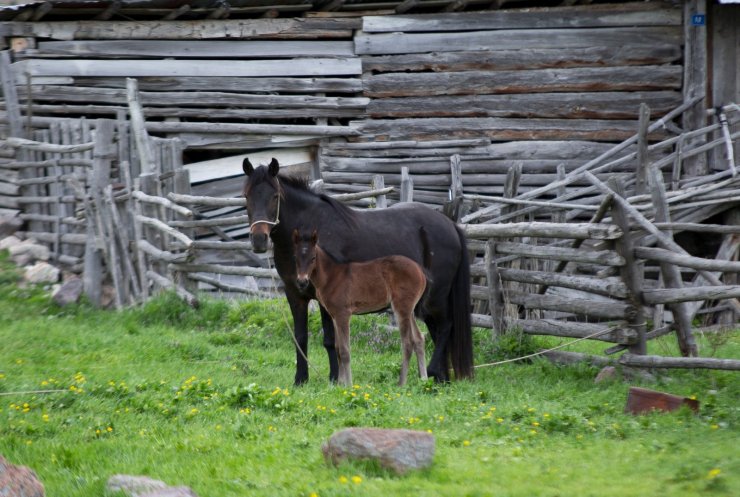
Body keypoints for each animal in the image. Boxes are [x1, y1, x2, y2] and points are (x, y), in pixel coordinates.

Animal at [243, 159, 474, 384]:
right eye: (246, 196)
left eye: (275, 196)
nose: (259, 240)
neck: (312, 225)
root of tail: (450, 225)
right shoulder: (295, 295)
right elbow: (300, 337)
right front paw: (301, 380)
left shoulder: (327, 300)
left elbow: (330, 341)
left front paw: (335, 379)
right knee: (435, 329)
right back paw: (441, 378)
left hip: (436, 296)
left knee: (445, 326)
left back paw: (434, 372)